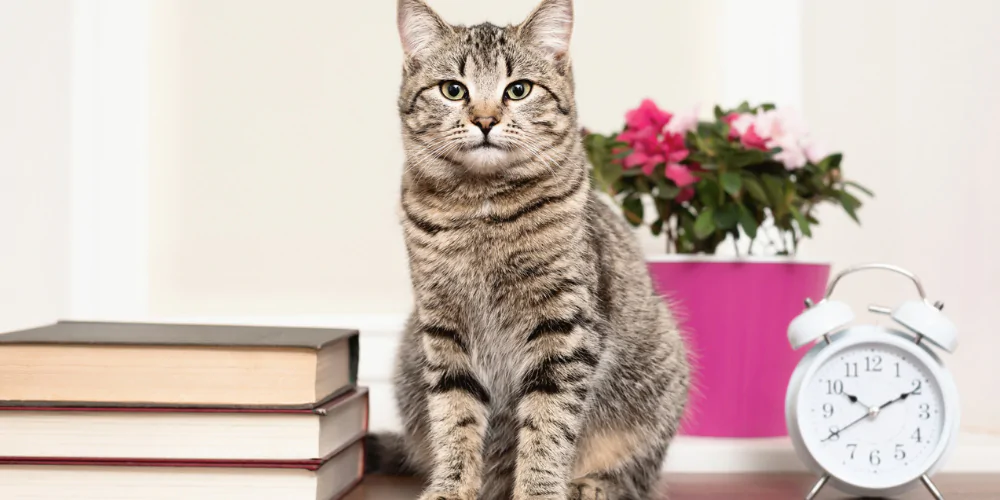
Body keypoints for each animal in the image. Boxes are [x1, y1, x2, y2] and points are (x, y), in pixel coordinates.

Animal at [364, 0, 692, 500]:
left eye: (518, 89)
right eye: (453, 90)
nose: (484, 120)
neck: (481, 211)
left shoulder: (564, 327)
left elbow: (548, 422)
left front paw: (540, 489)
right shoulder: (443, 328)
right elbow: (454, 418)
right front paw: (451, 487)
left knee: (640, 477)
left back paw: (590, 485)